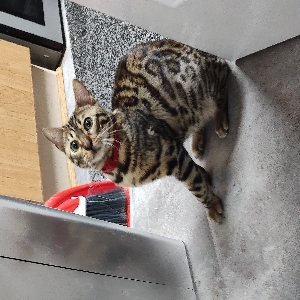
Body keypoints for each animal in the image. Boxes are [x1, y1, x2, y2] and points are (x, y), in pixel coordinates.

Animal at [43, 38, 229, 223]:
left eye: (88, 123)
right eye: (74, 145)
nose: (87, 144)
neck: (118, 164)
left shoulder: (174, 153)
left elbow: (196, 186)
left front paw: (211, 206)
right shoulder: (178, 153)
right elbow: (198, 174)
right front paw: (206, 181)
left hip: (199, 85)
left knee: (223, 71)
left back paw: (220, 120)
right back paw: (198, 141)